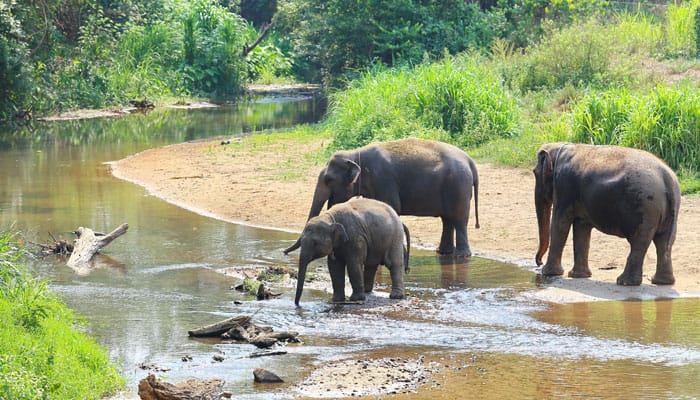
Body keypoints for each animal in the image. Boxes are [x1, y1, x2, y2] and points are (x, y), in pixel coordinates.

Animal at [284, 138, 476, 256]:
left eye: (328, 180)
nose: (284, 252)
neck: (355, 155)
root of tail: (469, 160)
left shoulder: (383, 179)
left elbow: (392, 206)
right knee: (447, 219)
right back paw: (443, 252)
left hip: (459, 185)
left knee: (459, 219)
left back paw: (461, 256)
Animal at [536, 142, 680, 286]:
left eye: (535, 173)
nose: (539, 262)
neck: (561, 146)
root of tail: (668, 179)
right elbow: (581, 226)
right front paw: (578, 276)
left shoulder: (564, 187)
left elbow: (560, 223)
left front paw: (548, 273)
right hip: (666, 211)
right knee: (663, 242)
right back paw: (662, 282)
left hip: (646, 208)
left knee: (639, 242)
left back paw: (624, 282)